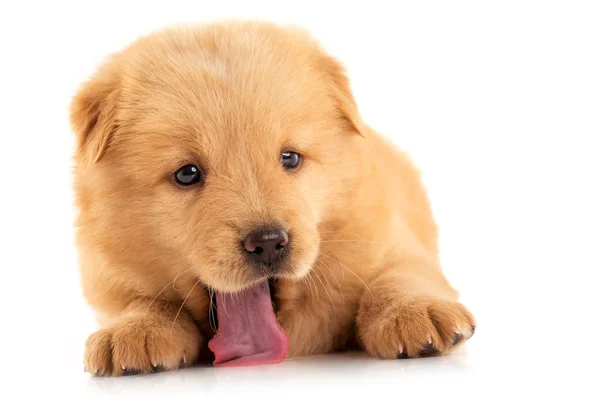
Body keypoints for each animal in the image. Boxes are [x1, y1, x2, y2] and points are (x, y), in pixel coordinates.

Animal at [69, 21, 474, 378]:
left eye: (290, 158)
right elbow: (142, 301)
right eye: (187, 173)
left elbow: (400, 273)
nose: (266, 242)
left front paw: (416, 312)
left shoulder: (387, 234)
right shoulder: (108, 274)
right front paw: (134, 330)